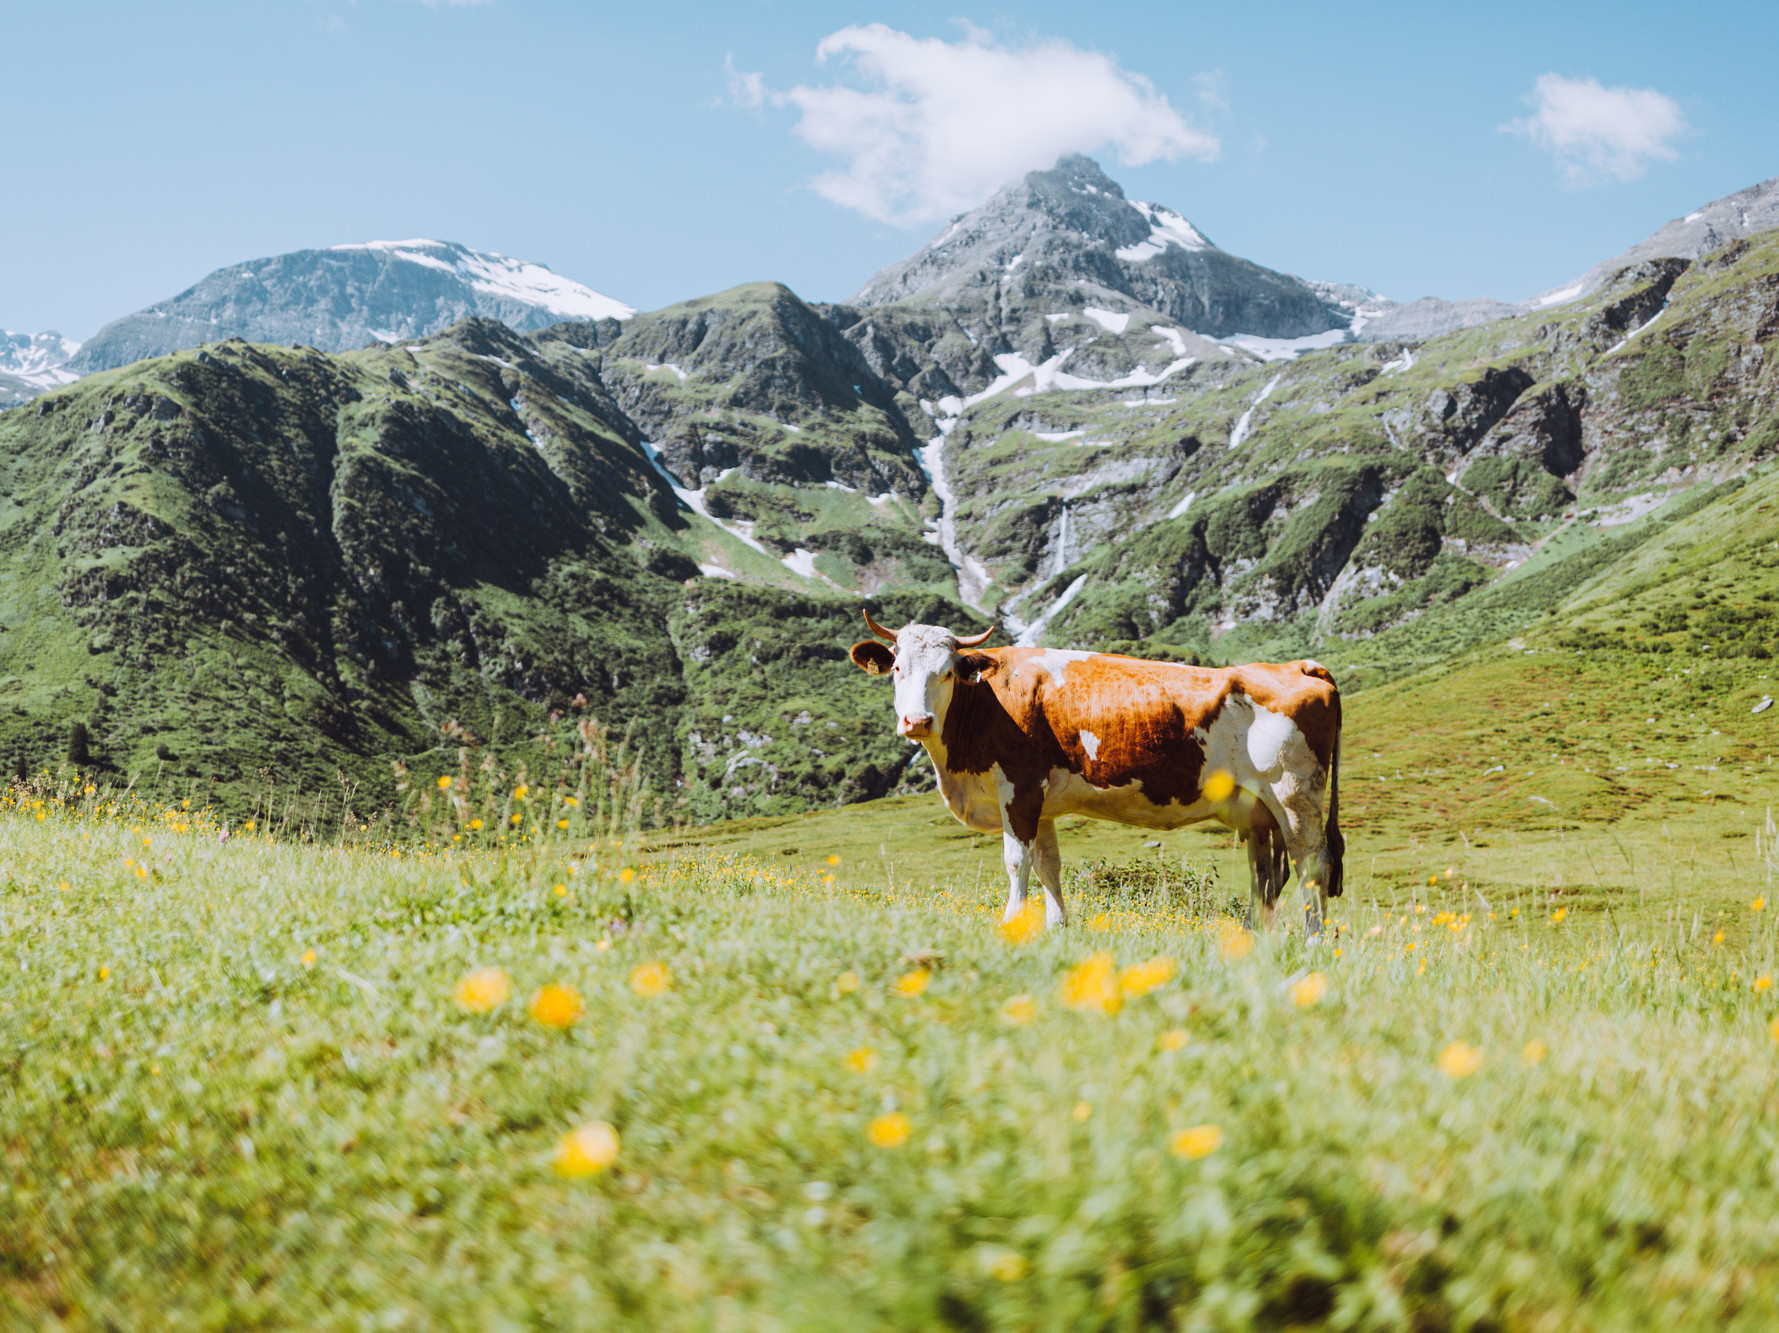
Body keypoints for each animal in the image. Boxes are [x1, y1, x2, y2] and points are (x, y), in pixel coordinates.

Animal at [850, 612, 1344, 932]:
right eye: (897, 668)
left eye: (948, 672)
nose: (917, 721)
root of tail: (1300, 666)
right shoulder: (1043, 802)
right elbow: (1048, 865)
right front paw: (1057, 927)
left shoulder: (1019, 787)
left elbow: (1017, 861)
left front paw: (1010, 923)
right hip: (1260, 811)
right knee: (1268, 875)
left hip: (1295, 794)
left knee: (1312, 864)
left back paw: (1312, 942)